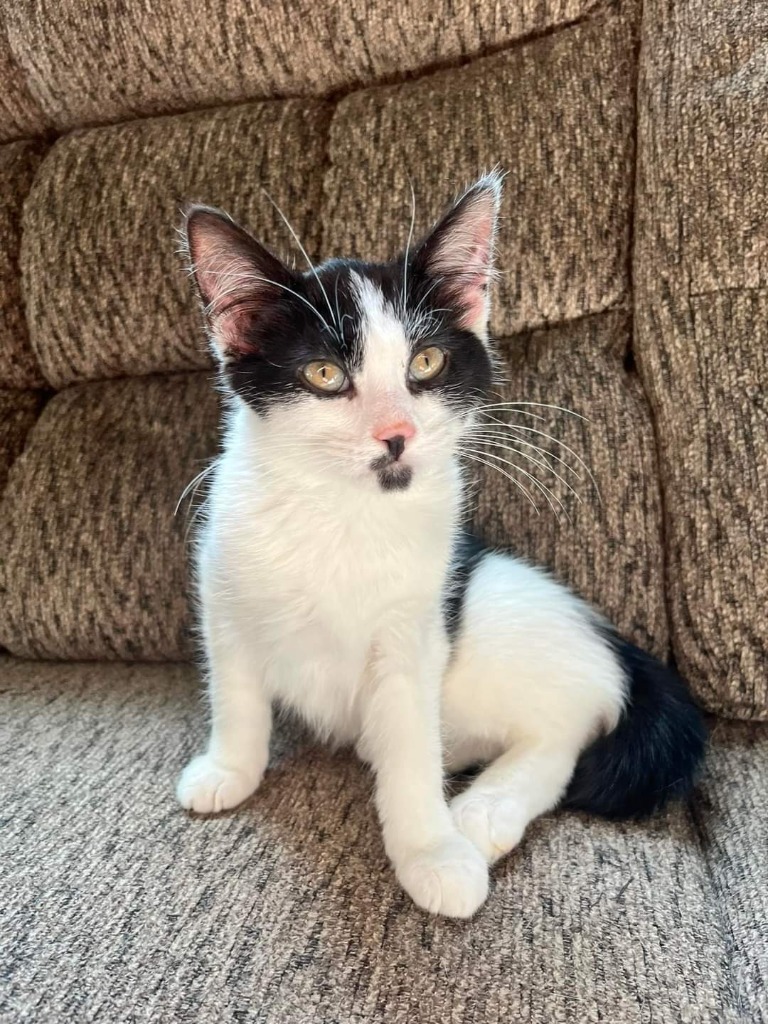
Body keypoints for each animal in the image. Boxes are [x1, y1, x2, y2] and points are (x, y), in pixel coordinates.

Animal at [177, 174, 708, 921]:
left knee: (566, 732)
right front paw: (229, 768)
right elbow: (238, 694)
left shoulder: (417, 627)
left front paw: (430, 852)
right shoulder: (224, 587)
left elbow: (408, 745)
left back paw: (482, 814)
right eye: (324, 374)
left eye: (425, 362)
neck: (343, 514)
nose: (396, 434)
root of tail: (617, 646)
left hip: (502, 627)